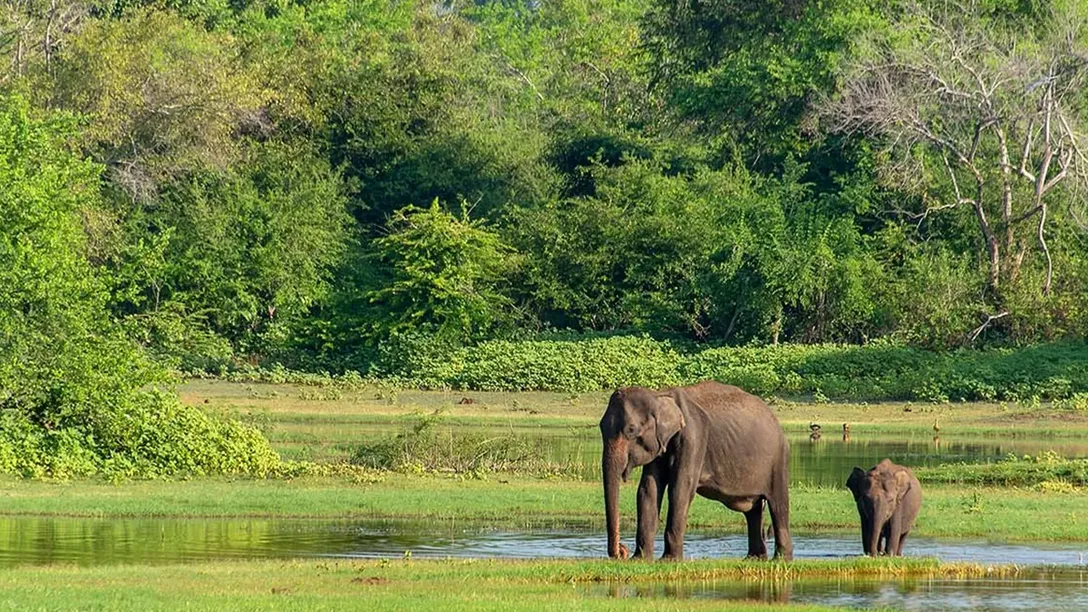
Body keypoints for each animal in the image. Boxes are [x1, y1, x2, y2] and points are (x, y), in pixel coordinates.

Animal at [599, 381, 793, 561]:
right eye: (600, 426)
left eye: (631, 430)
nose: (622, 551)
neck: (660, 395)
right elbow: (648, 490)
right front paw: (640, 559)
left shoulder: (694, 437)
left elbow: (680, 488)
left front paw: (669, 560)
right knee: (753, 511)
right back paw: (754, 558)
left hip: (778, 460)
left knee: (778, 505)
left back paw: (781, 559)